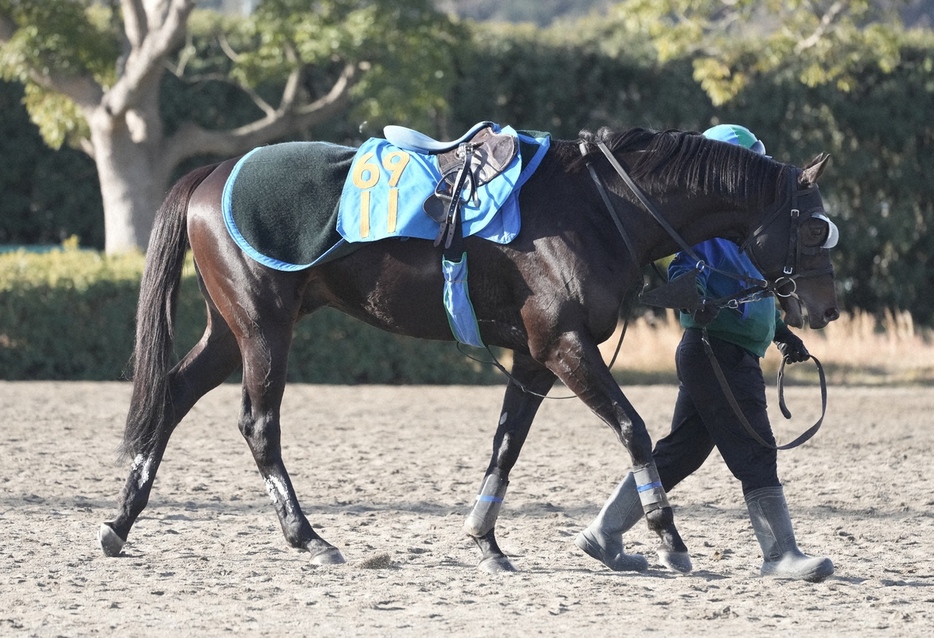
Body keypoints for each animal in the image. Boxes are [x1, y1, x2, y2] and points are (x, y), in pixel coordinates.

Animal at [97, 129, 840, 576]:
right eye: (813, 225)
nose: (826, 307)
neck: (598, 208)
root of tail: (210, 173)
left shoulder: (536, 357)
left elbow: (506, 444)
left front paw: (485, 540)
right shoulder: (564, 344)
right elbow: (634, 428)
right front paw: (667, 535)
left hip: (233, 330)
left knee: (171, 396)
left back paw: (120, 522)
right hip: (263, 327)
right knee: (257, 425)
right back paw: (308, 535)